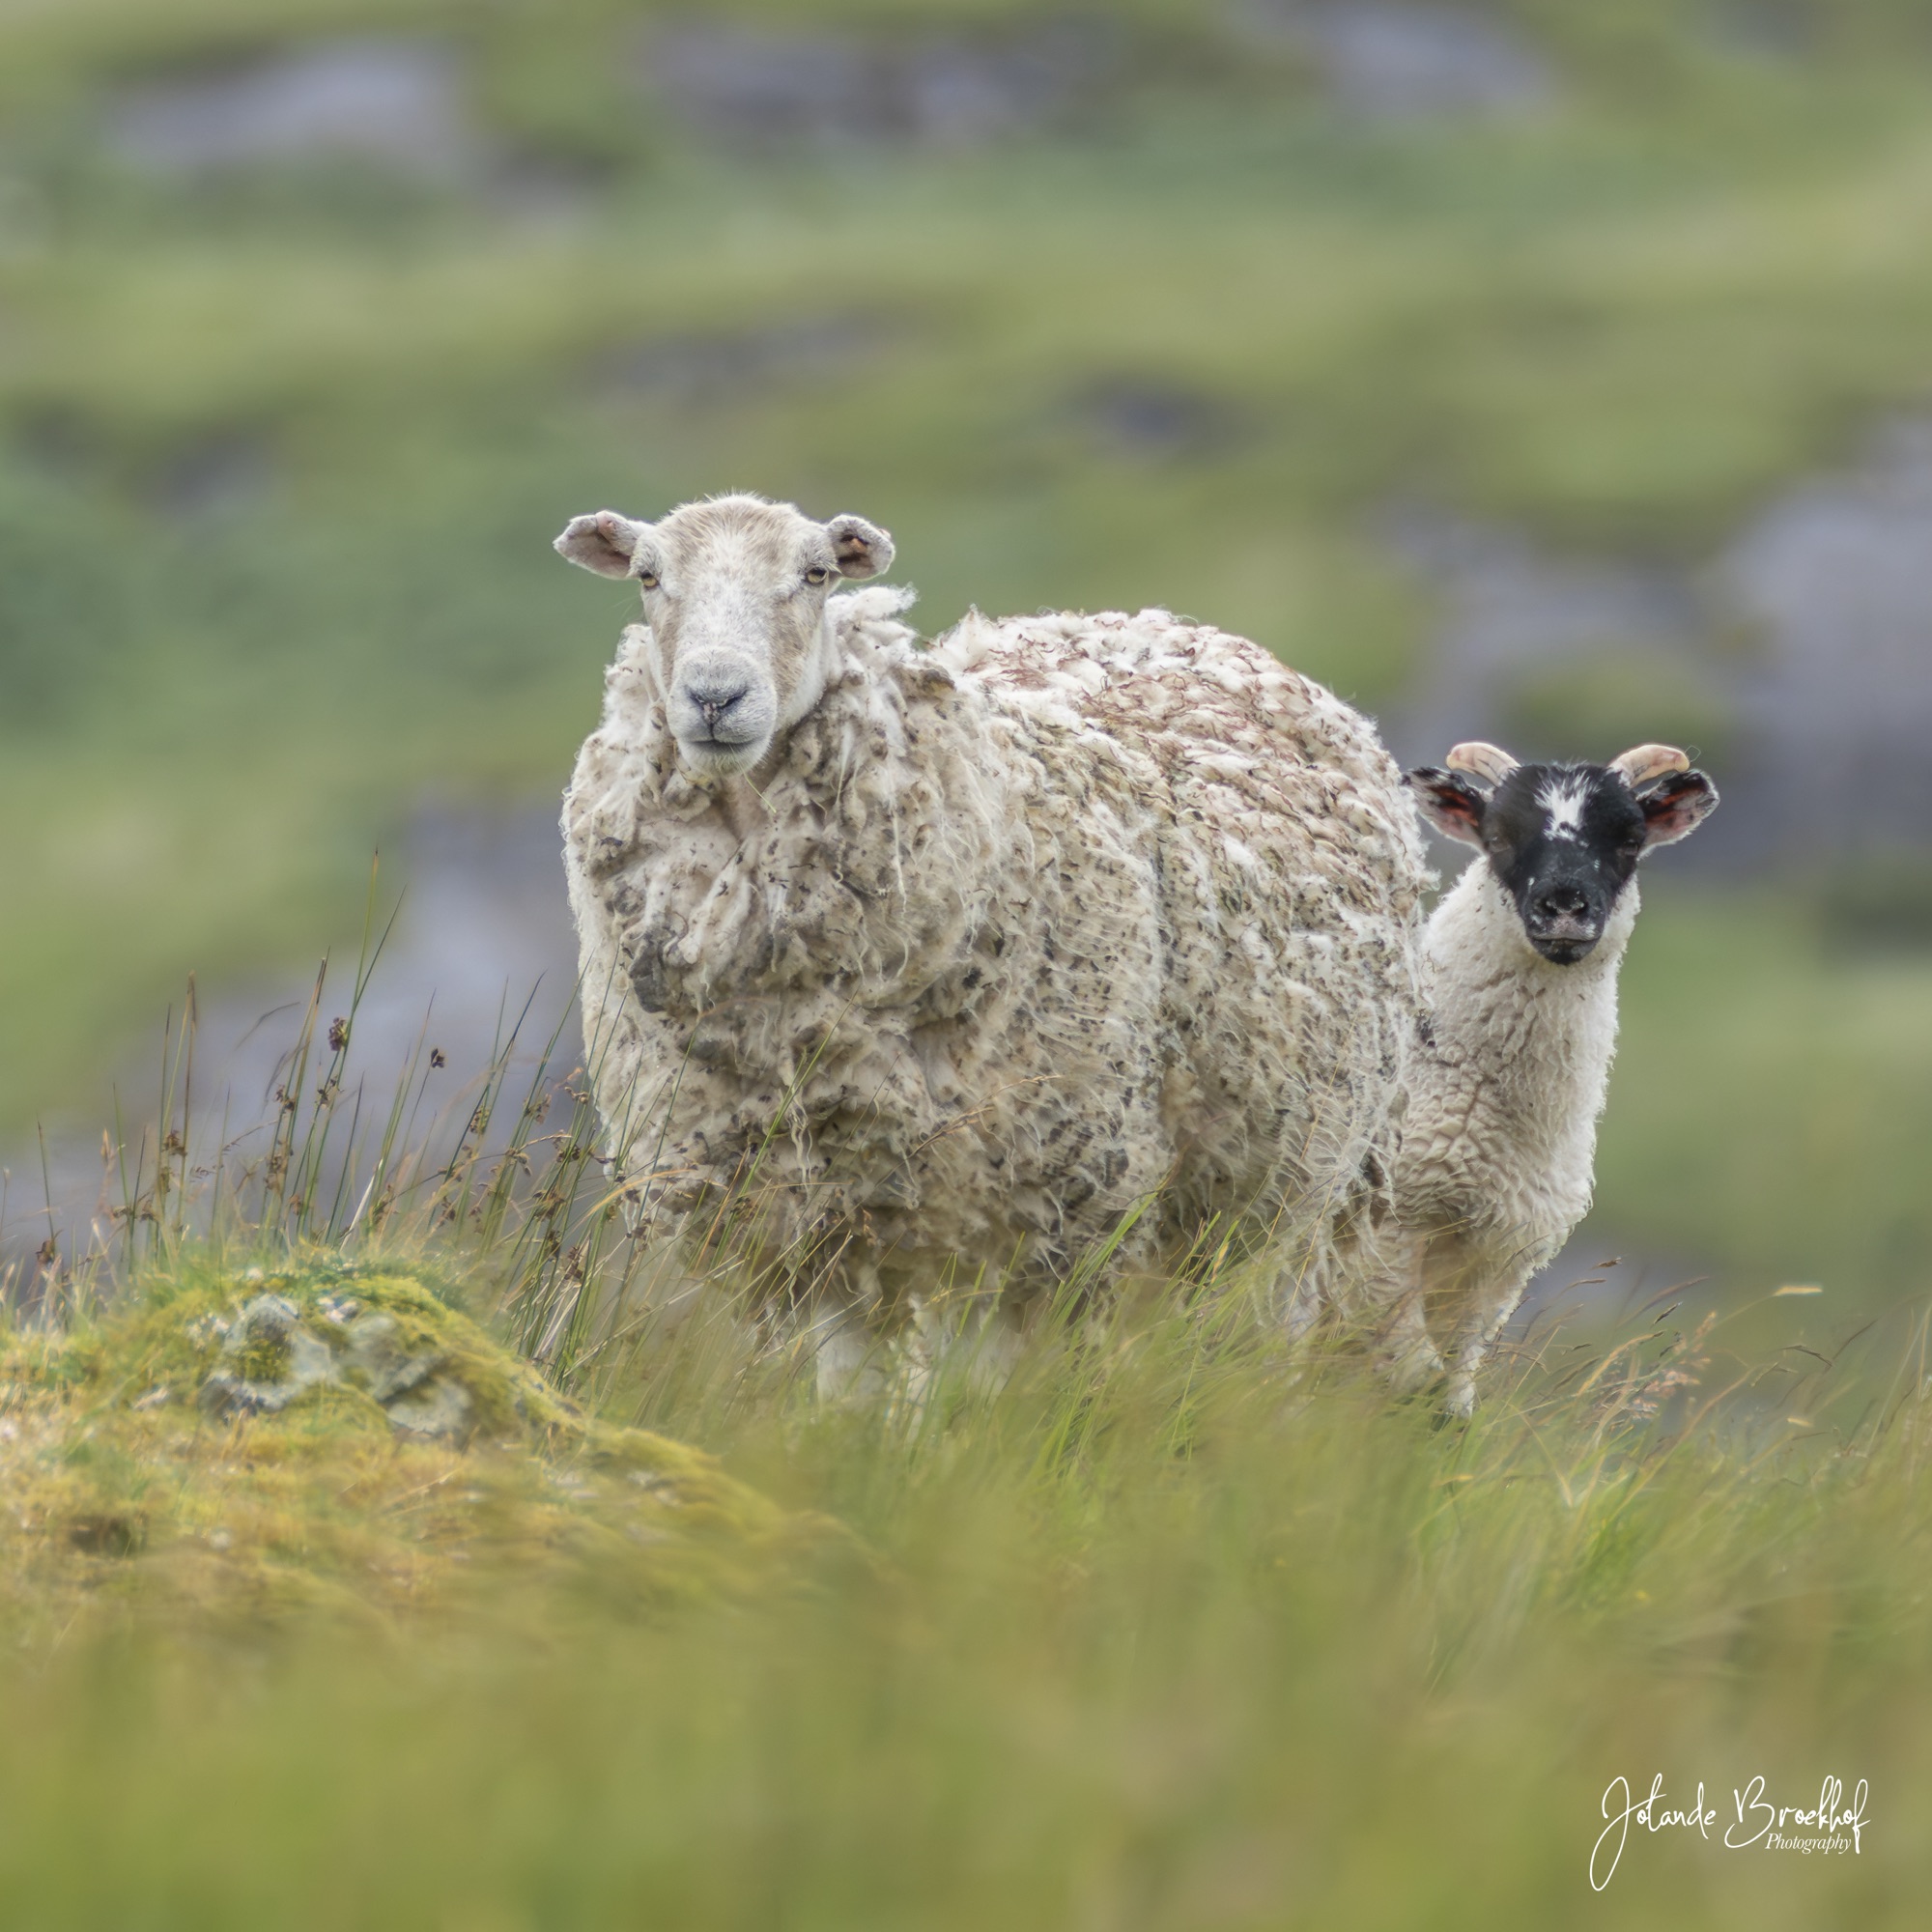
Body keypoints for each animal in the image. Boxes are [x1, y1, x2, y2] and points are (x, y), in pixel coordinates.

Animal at [553, 492, 1431, 1381]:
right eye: (646, 576)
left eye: (817, 573)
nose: (715, 696)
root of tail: (1179, 627)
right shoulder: (817, 1221)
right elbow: (848, 1391)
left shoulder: (1030, 1219)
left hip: (1315, 1184)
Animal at [1390, 740, 1720, 1416]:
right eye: (1496, 836)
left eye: (1629, 839)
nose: (1565, 906)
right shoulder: (1397, 1219)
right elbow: (1411, 1369)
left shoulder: (1500, 1256)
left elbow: (1449, 1397)